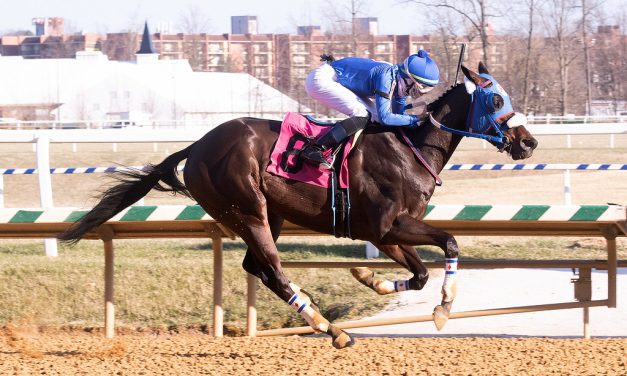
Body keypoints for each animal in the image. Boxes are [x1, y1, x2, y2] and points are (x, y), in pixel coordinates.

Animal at [57, 62, 540, 350]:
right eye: (496, 100)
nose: (528, 142)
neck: (410, 148)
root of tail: (196, 147)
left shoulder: (381, 232)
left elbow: (419, 274)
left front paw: (369, 278)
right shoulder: (387, 226)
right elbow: (451, 242)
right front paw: (442, 310)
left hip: (270, 215)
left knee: (257, 267)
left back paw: (324, 319)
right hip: (247, 210)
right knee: (272, 269)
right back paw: (331, 329)